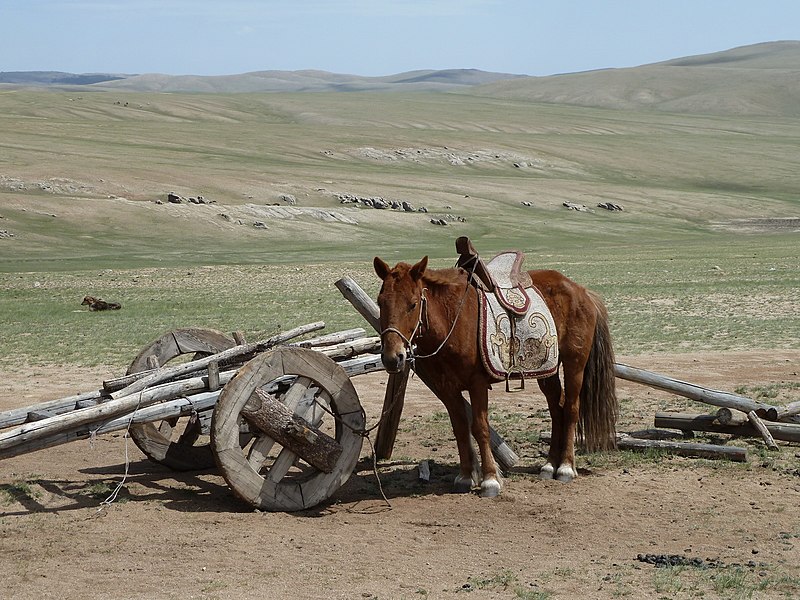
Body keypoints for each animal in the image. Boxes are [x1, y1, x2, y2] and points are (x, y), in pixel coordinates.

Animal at [376, 252, 620, 496]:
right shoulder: (447, 388)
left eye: (413, 304)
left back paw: (566, 468)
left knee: (570, 409)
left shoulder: (477, 383)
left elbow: (480, 427)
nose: (393, 357)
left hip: (574, 365)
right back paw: (550, 465)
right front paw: (465, 476)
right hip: (547, 370)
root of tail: (583, 292)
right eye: (380, 302)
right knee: (556, 409)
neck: (452, 318)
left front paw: (490, 480)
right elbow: (460, 428)